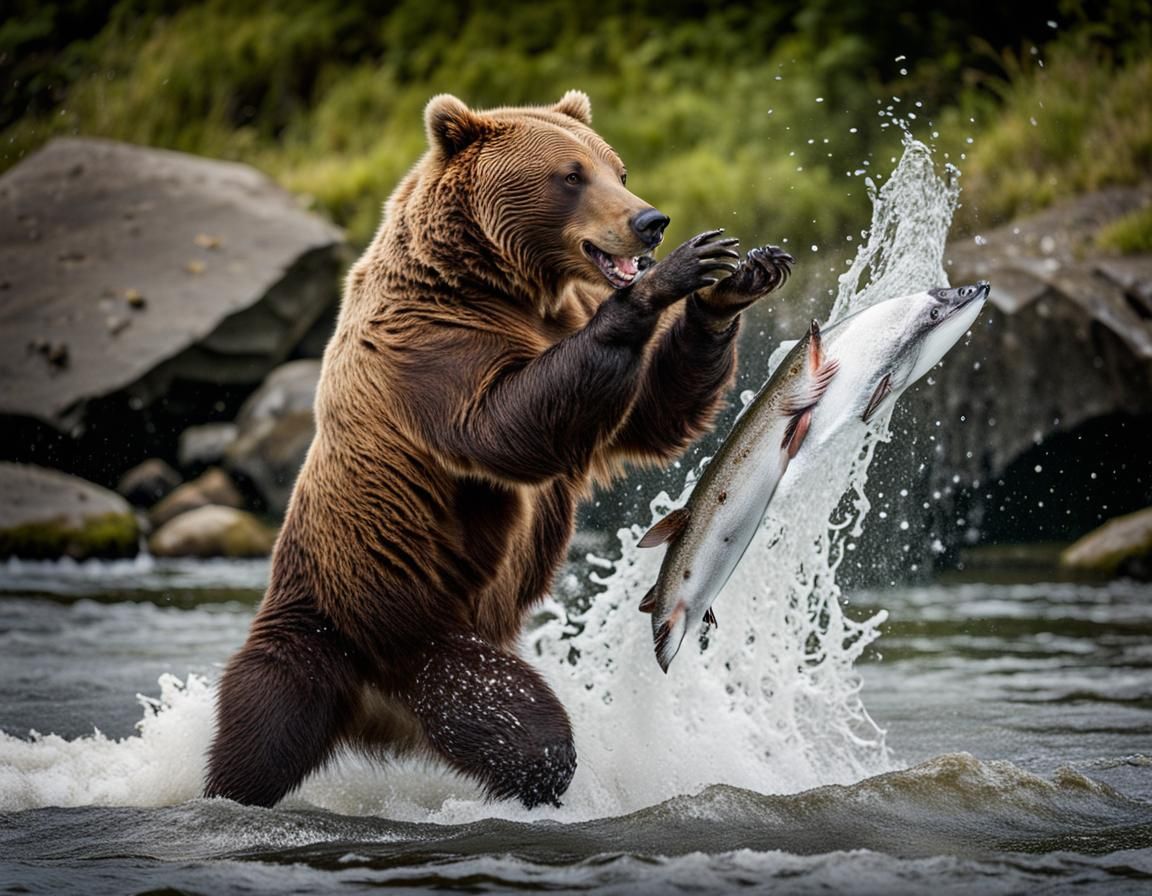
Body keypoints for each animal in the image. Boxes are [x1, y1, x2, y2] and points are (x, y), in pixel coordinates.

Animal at [204, 90, 793, 809]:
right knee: (287, 726)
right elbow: (502, 427)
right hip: (371, 622)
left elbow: (650, 413)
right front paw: (664, 282)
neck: (500, 283)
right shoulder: (428, 344)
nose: (651, 222)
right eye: (571, 175)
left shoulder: (566, 324)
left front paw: (730, 282)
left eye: (618, 169)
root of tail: (378, 714)